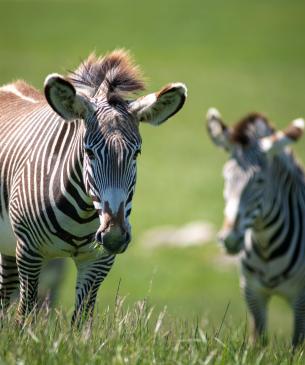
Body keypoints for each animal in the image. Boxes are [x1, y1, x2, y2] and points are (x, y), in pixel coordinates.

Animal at [0, 50, 186, 324]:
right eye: (89, 152)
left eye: (136, 154)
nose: (114, 236)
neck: (83, 212)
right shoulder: (29, 252)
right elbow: (25, 317)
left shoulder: (98, 262)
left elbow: (81, 322)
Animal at [207, 107, 304, 344]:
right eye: (226, 177)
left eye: (259, 181)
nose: (230, 239)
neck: (267, 247)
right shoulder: (252, 292)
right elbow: (257, 341)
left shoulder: (301, 300)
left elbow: (297, 344)